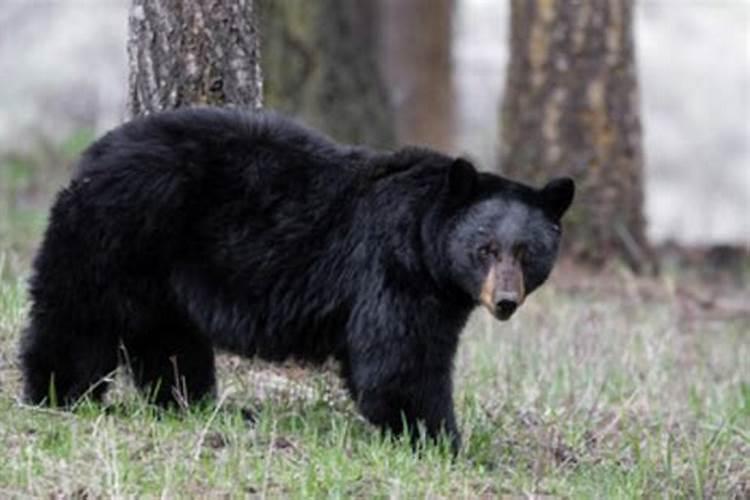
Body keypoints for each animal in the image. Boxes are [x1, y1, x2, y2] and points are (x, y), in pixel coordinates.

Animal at [22, 108, 576, 454]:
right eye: (485, 249)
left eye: (527, 252)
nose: (504, 301)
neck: (426, 241)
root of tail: (92, 154)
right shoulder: (393, 270)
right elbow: (400, 362)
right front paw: (443, 441)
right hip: (119, 229)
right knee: (79, 316)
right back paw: (56, 395)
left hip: (160, 273)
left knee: (168, 338)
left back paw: (196, 404)